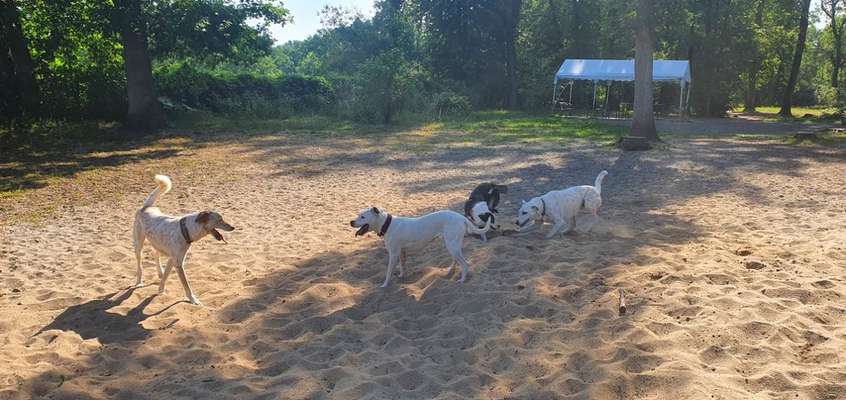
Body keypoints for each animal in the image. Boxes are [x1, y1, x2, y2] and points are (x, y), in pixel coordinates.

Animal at [134, 173, 237, 304]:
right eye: (219, 219)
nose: (233, 227)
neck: (185, 229)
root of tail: (146, 207)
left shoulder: (173, 260)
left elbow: (166, 276)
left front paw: (160, 290)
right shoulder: (178, 263)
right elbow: (186, 285)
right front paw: (193, 299)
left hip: (157, 242)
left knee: (155, 254)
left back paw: (159, 272)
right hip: (138, 245)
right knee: (139, 265)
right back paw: (139, 282)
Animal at [352, 206, 494, 288]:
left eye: (362, 217)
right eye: (358, 215)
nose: (351, 222)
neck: (387, 224)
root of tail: (461, 217)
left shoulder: (393, 254)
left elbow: (388, 272)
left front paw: (385, 285)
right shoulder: (401, 253)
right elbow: (402, 265)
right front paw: (402, 276)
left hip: (452, 245)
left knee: (465, 264)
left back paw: (462, 280)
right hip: (453, 244)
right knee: (457, 260)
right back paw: (450, 270)